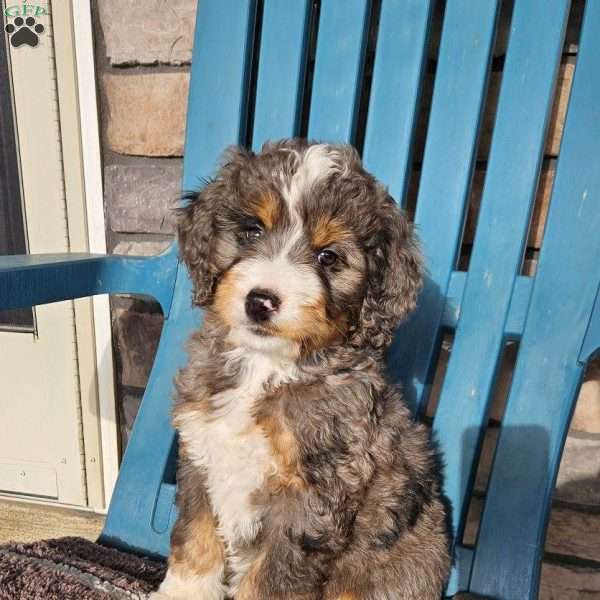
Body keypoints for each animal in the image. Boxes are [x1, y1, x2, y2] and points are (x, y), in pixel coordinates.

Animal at [152, 138, 452, 596]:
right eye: (252, 231)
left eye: (328, 257)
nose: (260, 301)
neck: (265, 367)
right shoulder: (200, 460)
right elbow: (195, 540)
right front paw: (180, 593)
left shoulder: (309, 498)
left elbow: (270, 580)